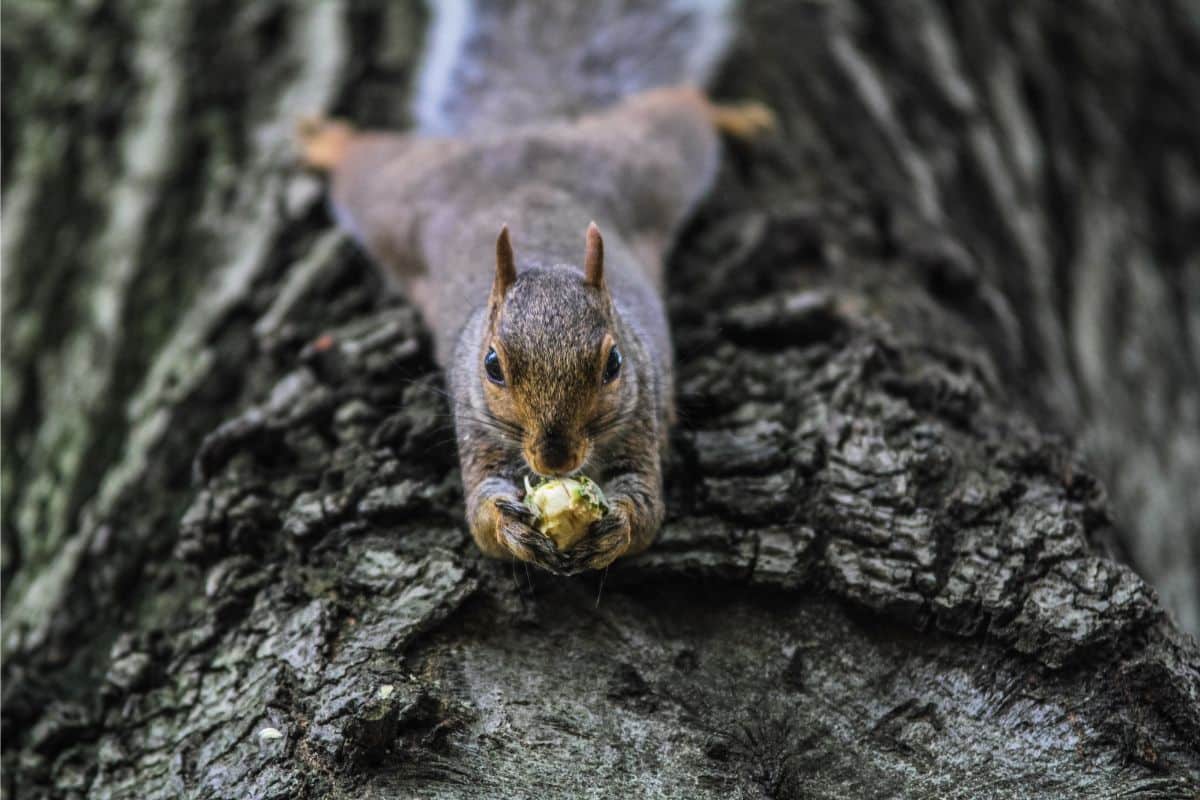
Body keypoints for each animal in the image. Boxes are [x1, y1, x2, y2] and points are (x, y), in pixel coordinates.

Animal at [296, 14, 772, 575]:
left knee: (680, 107)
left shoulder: (641, 416)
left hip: (650, 162)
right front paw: (510, 526)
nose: (555, 459)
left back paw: (736, 115)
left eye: (614, 364)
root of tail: (522, 132)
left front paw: (616, 527)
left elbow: (648, 509)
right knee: (363, 163)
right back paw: (327, 140)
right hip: (398, 198)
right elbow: (481, 517)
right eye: (492, 366)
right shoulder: (476, 428)